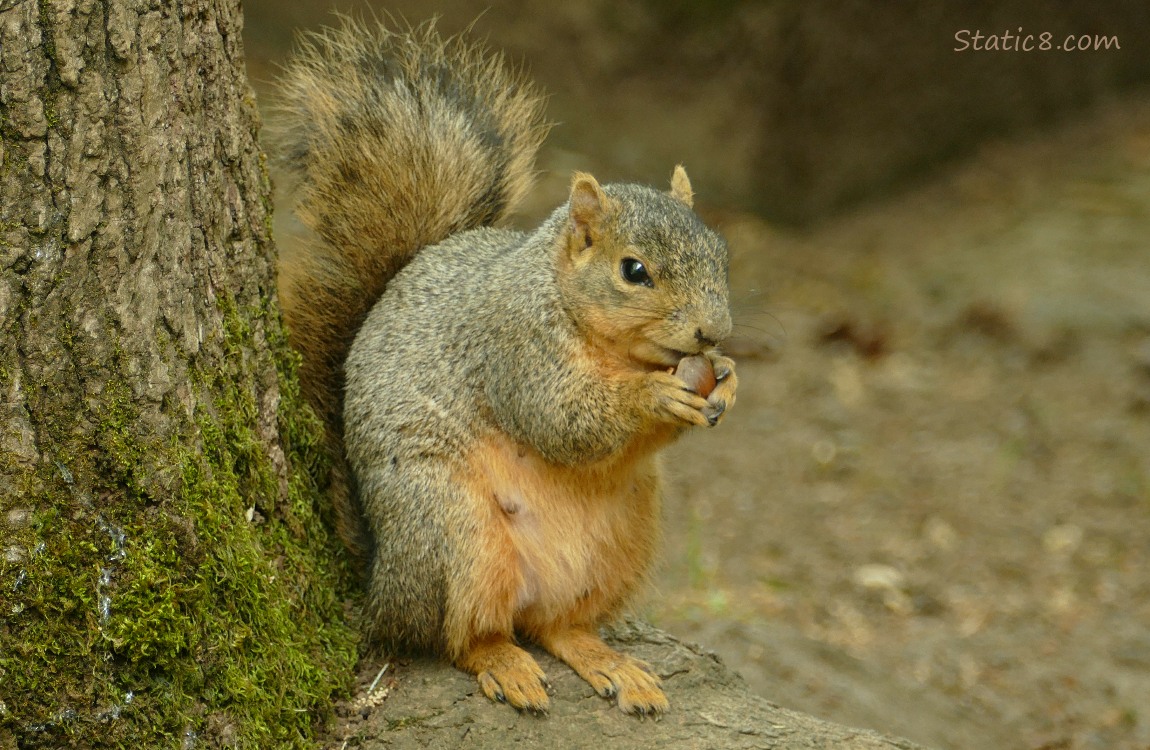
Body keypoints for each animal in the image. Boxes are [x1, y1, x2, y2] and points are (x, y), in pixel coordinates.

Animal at [271, 18, 737, 715]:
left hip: (623, 540)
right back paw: (503, 665)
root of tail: (381, 581)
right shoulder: (512, 348)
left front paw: (728, 380)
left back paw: (608, 663)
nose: (715, 331)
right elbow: (560, 419)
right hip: (451, 532)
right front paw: (653, 397)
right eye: (634, 271)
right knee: (459, 636)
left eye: (721, 253)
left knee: (555, 627)